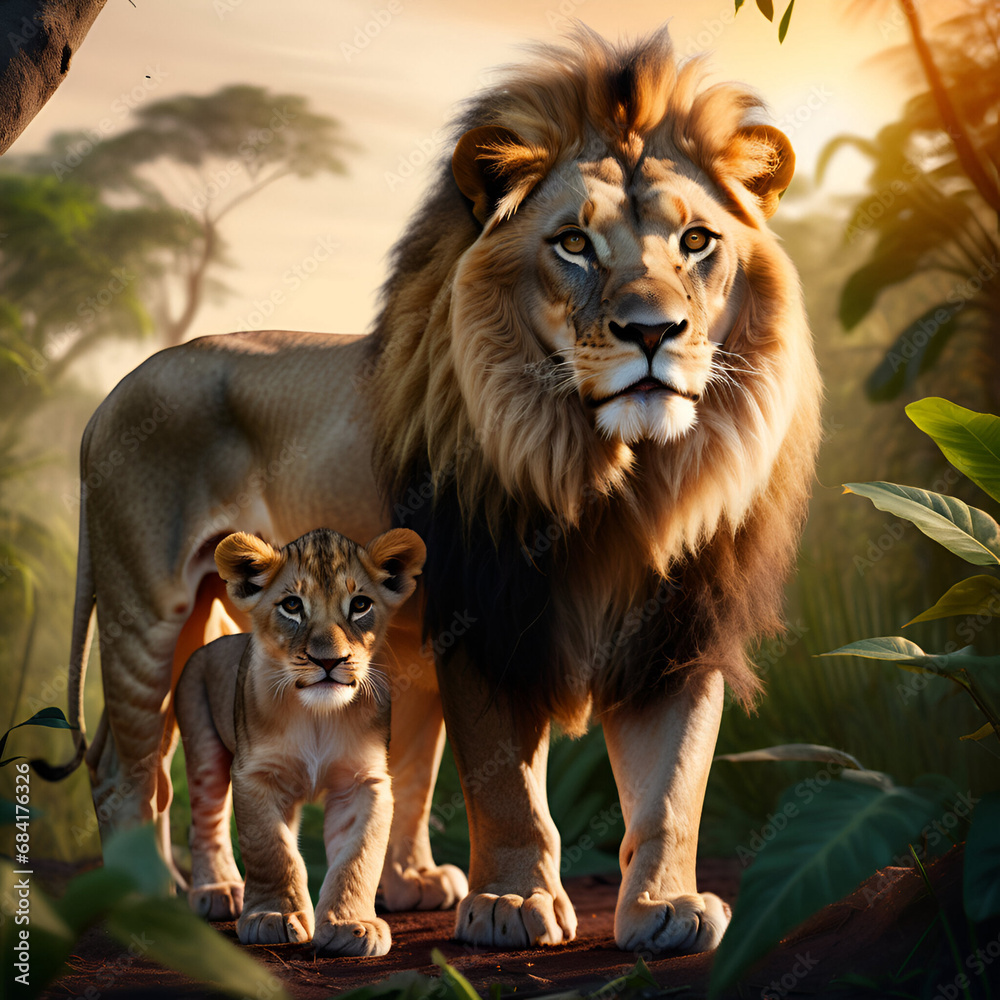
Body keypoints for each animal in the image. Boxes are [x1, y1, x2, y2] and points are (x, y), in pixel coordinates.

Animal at [175, 526, 427, 955]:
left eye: (360, 605)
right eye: (292, 605)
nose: (329, 661)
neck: (317, 717)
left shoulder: (364, 781)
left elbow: (358, 856)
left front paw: (351, 925)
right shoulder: (255, 775)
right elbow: (271, 849)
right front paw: (271, 916)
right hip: (202, 741)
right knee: (205, 821)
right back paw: (218, 891)